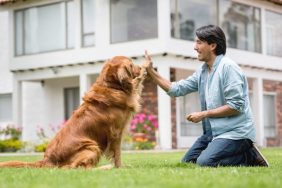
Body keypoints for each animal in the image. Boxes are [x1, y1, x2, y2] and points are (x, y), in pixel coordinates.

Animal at [0, 55, 145, 169]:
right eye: (131, 64)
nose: (140, 68)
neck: (111, 86)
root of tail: (47, 159)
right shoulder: (116, 133)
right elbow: (117, 154)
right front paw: (120, 167)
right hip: (91, 146)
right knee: (75, 168)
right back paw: (104, 168)